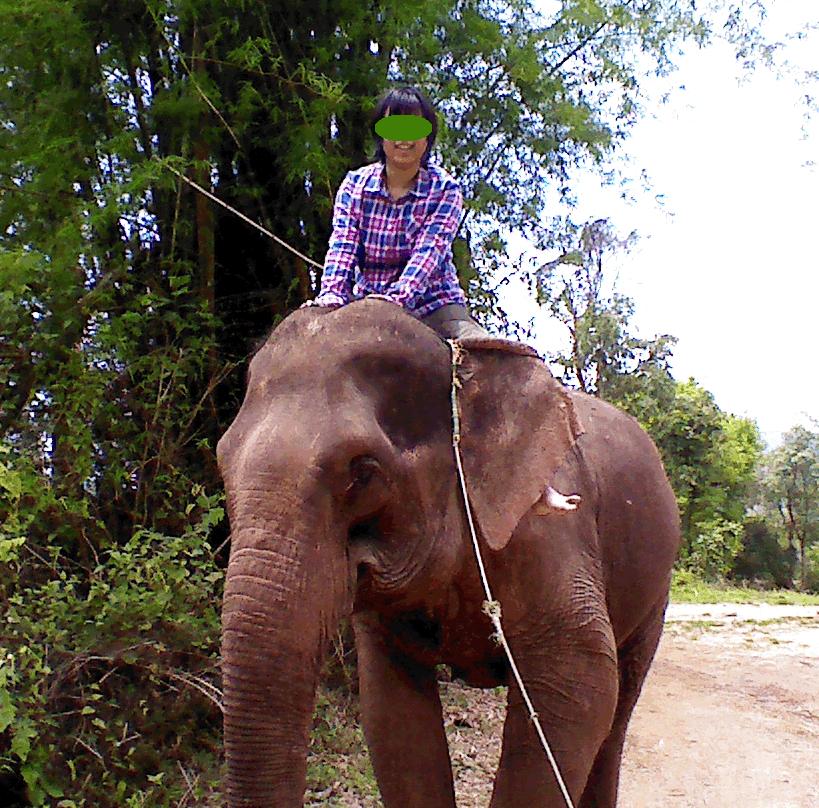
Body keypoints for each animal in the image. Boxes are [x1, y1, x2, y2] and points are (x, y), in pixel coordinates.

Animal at [216, 298, 680, 808]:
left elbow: (580, 680)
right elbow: (392, 712)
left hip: (655, 590)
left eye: (363, 473)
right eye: (221, 462)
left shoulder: (550, 535)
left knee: (617, 715)